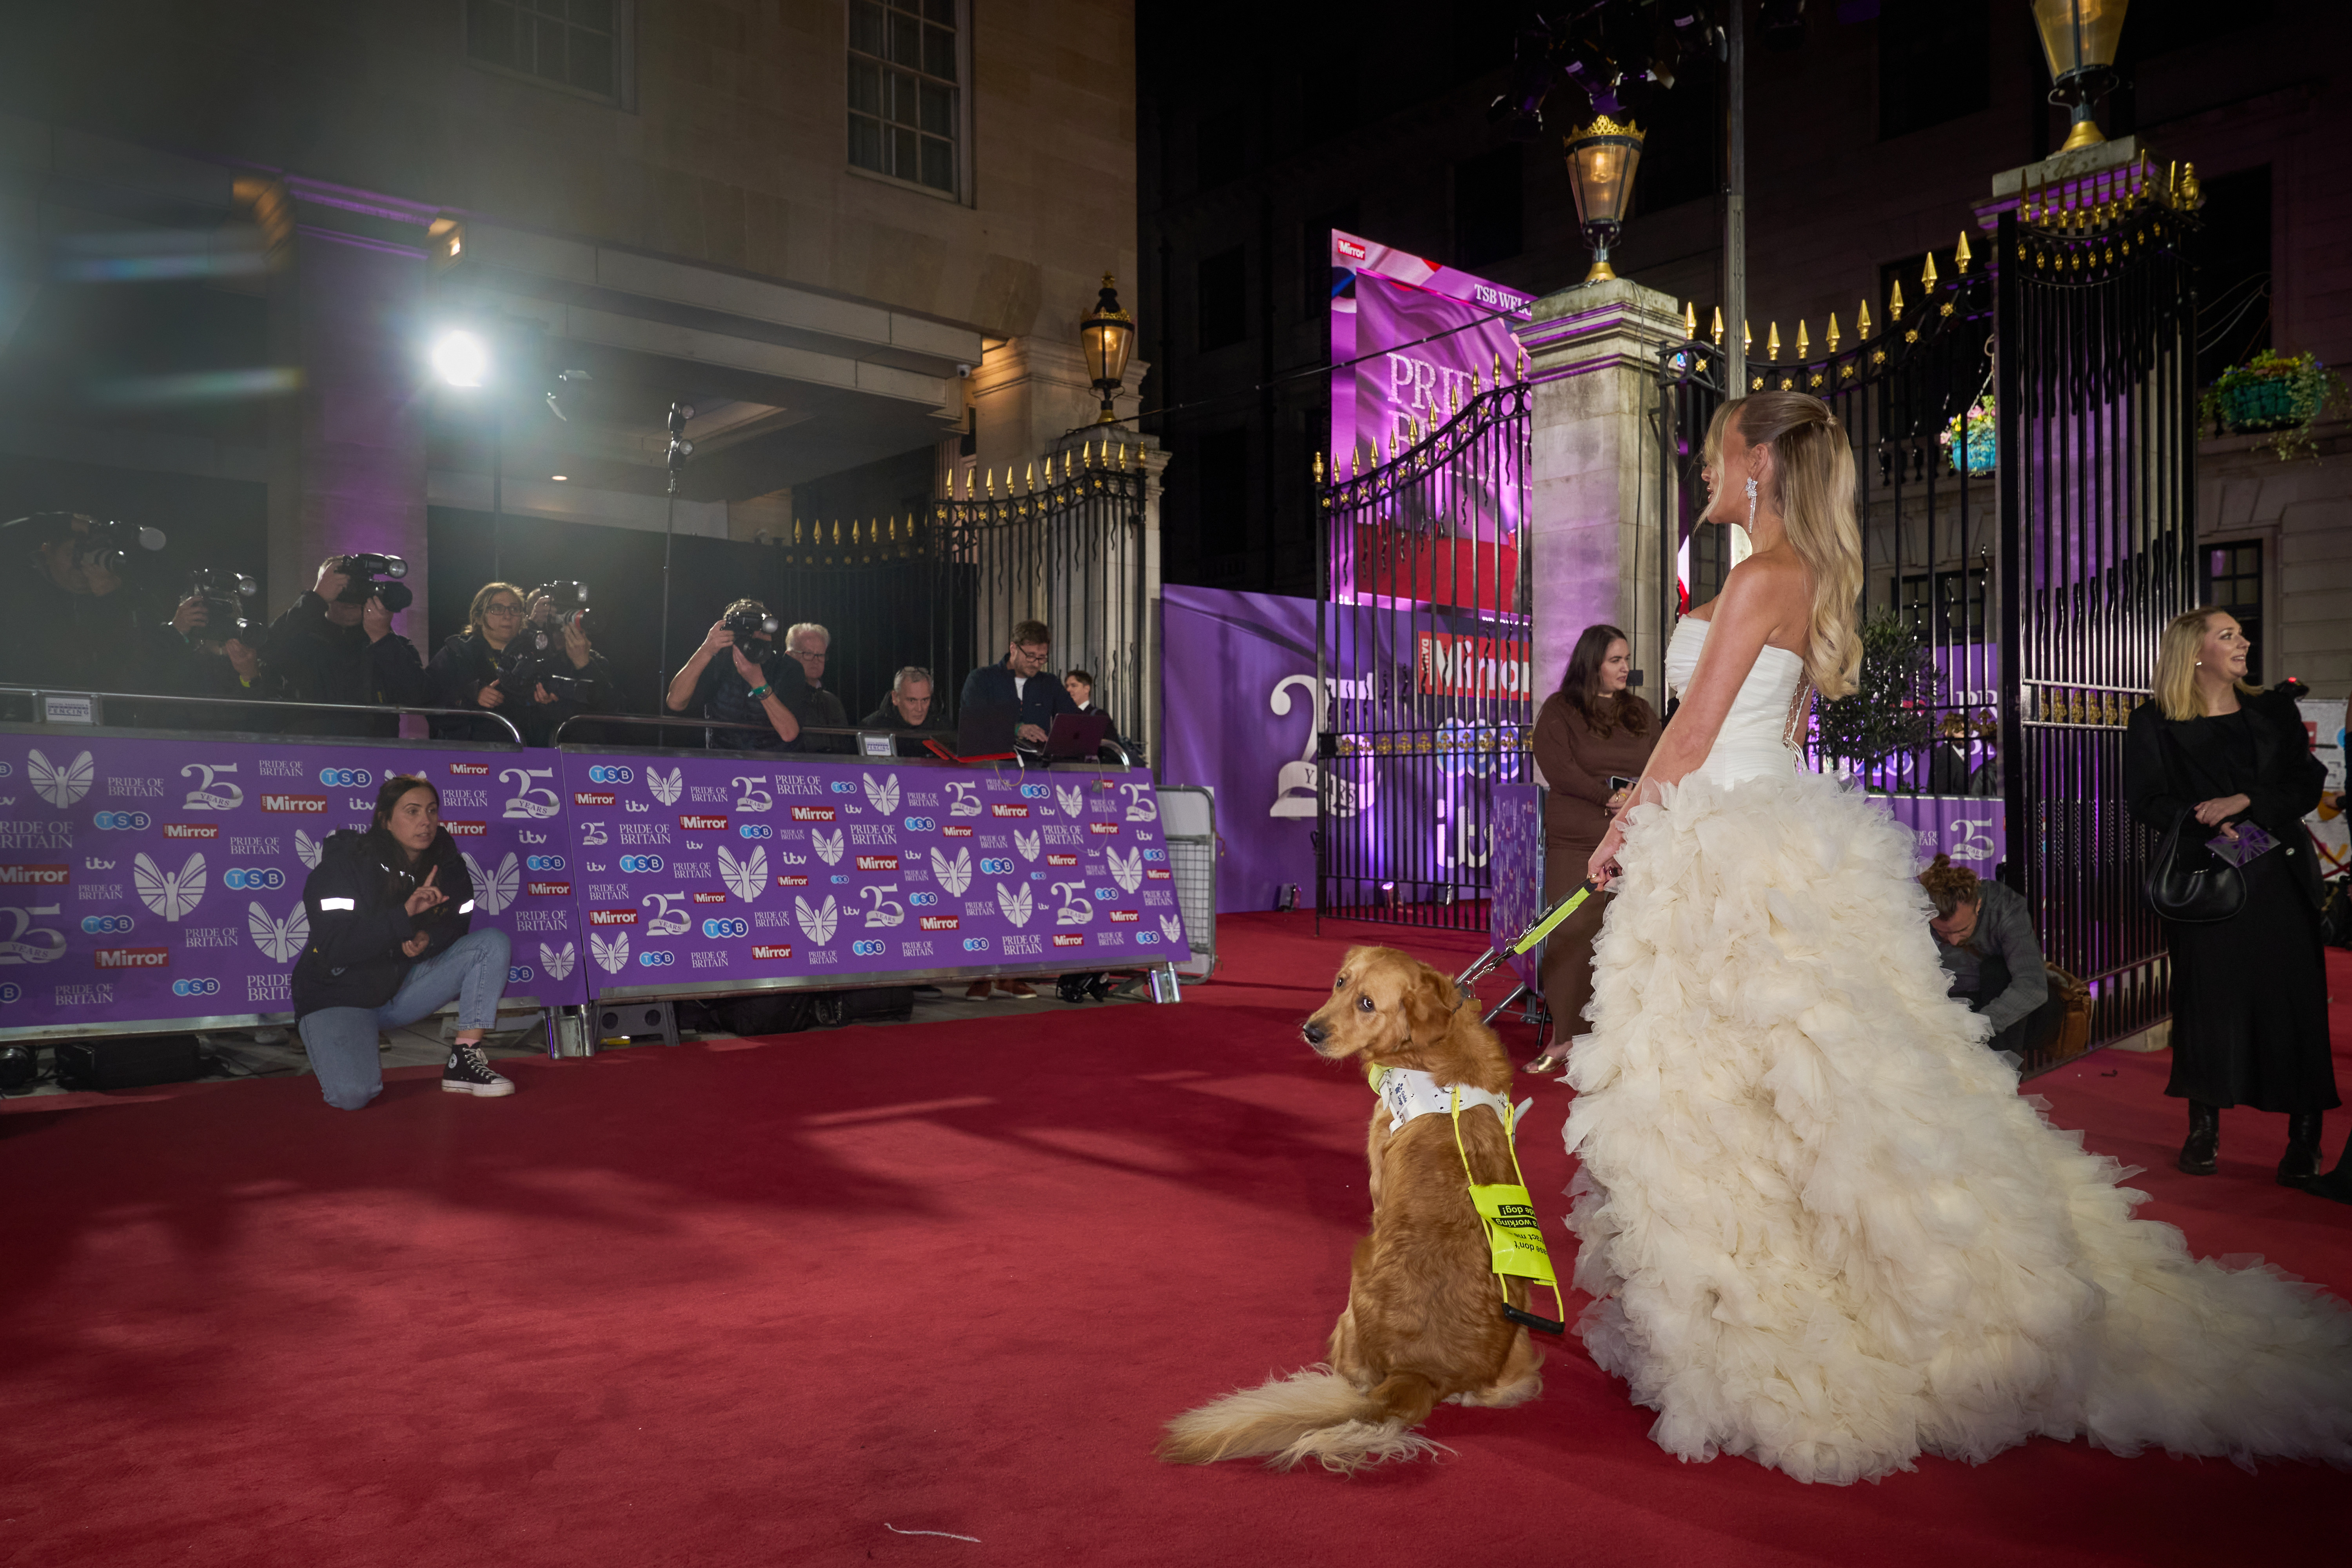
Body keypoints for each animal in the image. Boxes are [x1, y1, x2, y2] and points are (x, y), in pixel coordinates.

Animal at [1157, 949, 1543, 1476]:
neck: (1434, 1043)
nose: (1311, 1031)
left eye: (1367, 1003)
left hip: (1354, 1287)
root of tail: (1423, 1373)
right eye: (1340, 982)